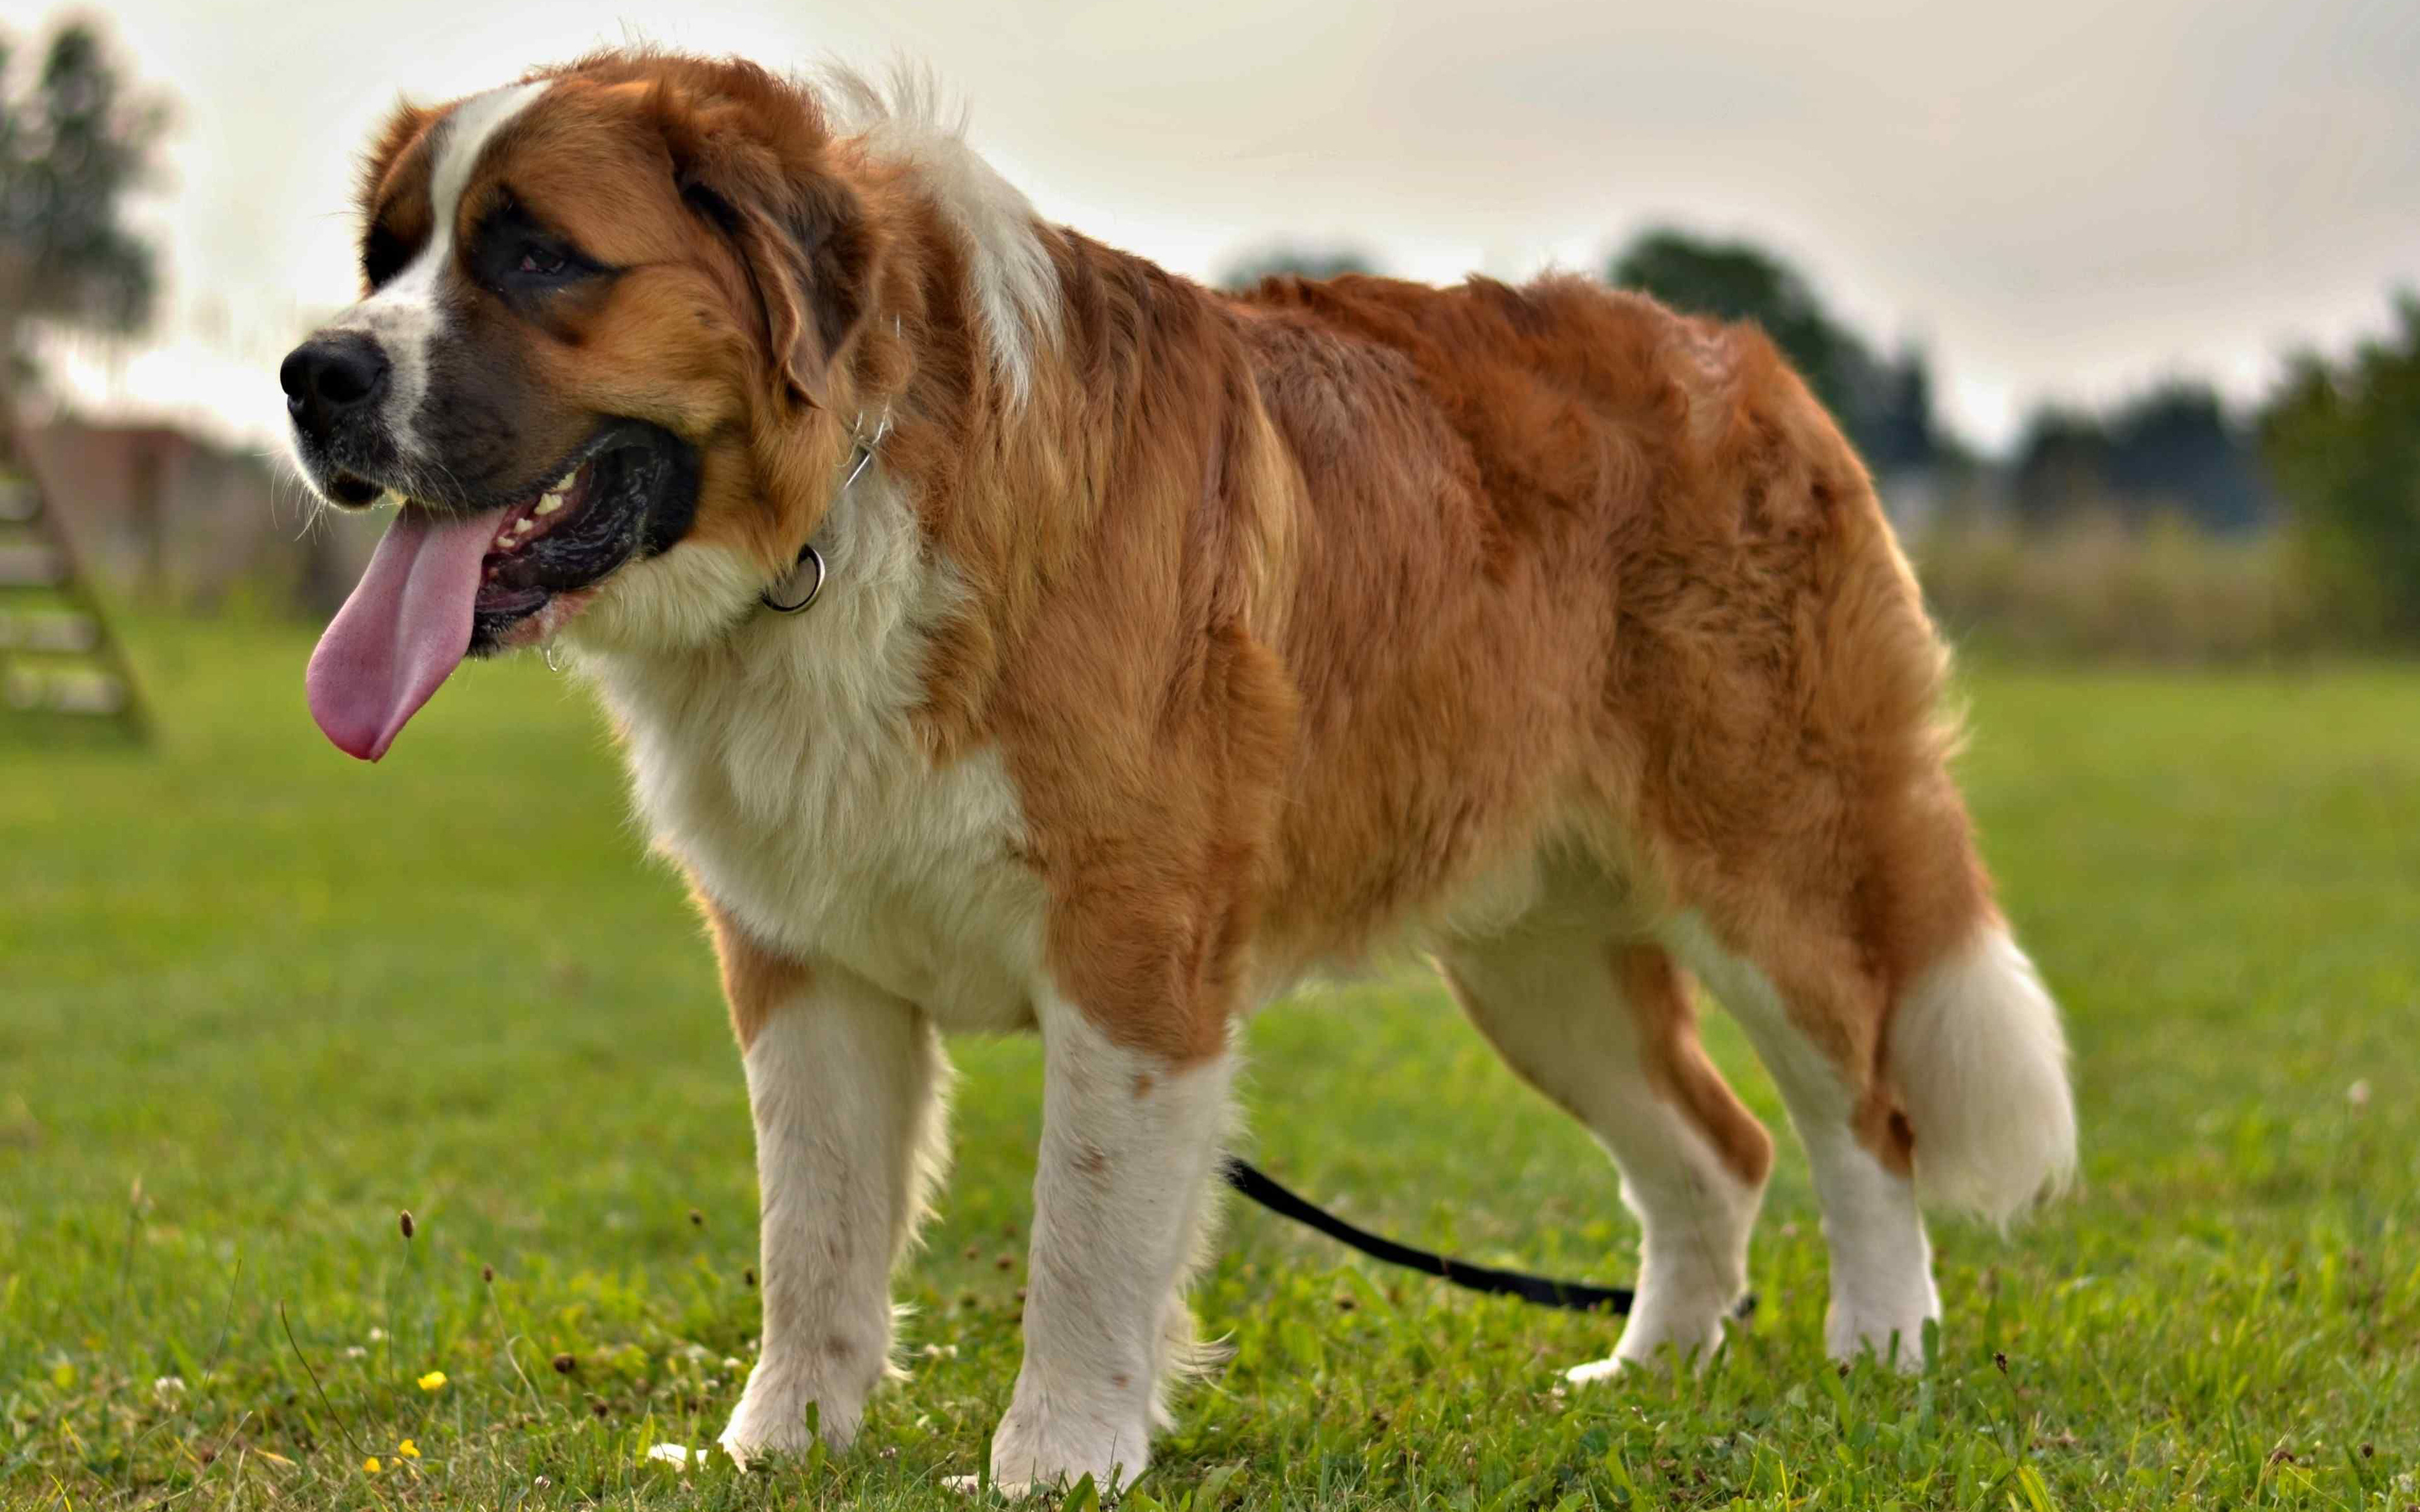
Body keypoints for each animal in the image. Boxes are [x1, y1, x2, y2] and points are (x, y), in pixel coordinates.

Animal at [274, 47, 2071, 1490]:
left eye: (534, 255)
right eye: (386, 255)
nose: (314, 372)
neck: (849, 507)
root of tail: (1749, 361)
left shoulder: (1132, 952)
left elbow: (1084, 1232)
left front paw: (1055, 1459)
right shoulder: (806, 962)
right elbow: (818, 1232)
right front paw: (778, 1448)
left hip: (1771, 864)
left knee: (1861, 1114)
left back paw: (1878, 1347)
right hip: (1535, 957)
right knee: (1715, 1149)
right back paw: (1643, 1373)